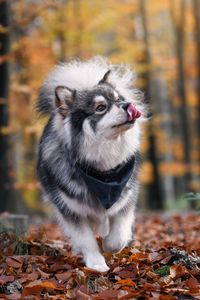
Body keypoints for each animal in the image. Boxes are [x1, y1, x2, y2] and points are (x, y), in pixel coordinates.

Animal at [36, 56, 145, 272]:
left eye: (118, 99)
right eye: (100, 108)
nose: (127, 105)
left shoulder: (125, 199)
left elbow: (118, 236)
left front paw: (110, 246)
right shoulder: (70, 209)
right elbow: (87, 240)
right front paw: (96, 263)